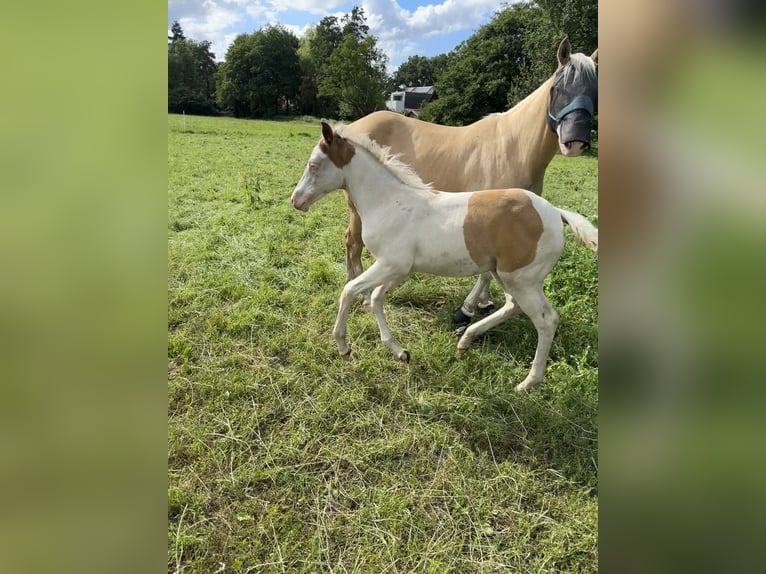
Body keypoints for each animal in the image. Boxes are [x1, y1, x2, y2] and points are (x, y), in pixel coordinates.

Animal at [292, 121, 596, 392]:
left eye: (313, 165)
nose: (296, 200)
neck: (388, 202)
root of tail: (555, 212)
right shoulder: (399, 269)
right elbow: (376, 298)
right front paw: (400, 352)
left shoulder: (390, 264)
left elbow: (349, 290)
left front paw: (344, 347)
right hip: (507, 276)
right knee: (513, 306)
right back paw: (465, 341)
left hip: (522, 279)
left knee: (546, 320)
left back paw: (528, 382)